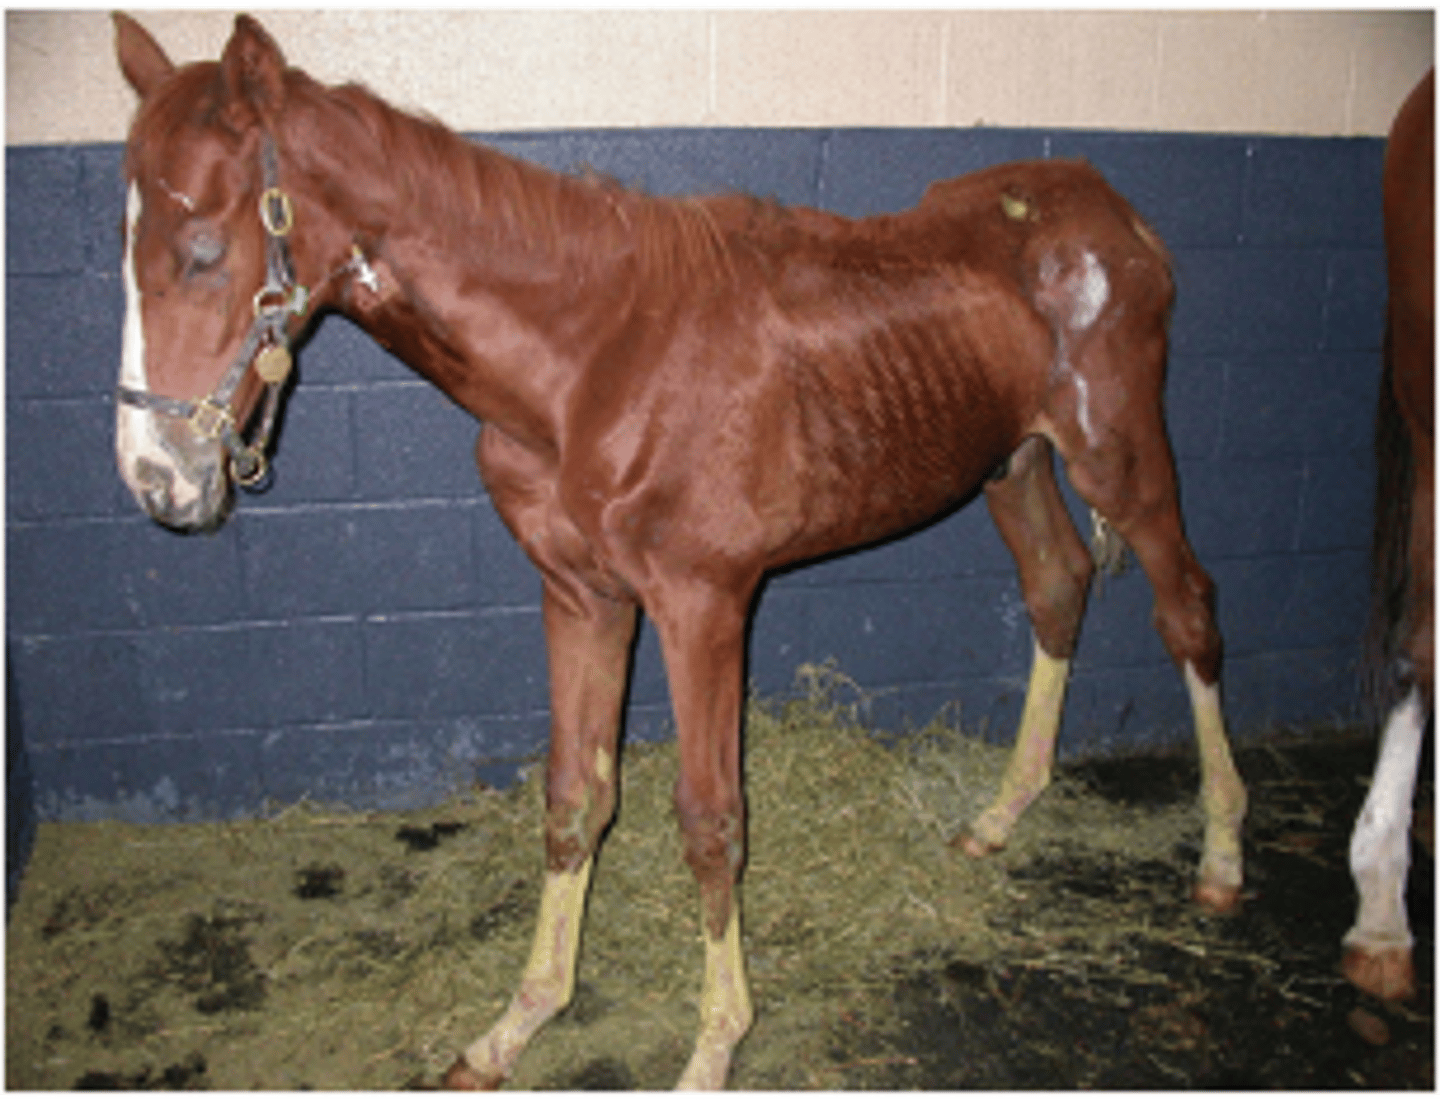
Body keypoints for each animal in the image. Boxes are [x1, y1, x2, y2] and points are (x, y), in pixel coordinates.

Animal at [110, 14, 1247, 1089]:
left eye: (203, 248)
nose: (156, 477)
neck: (588, 362)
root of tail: (1115, 209)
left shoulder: (705, 602)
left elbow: (711, 822)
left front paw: (712, 1050)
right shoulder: (580, 594)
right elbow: (576, 798)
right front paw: (513, 1026)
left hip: (1120, 455)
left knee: (1187, 607)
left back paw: (1225, 855)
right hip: (1013, 462)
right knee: (1057, 586)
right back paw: (1000, 818)